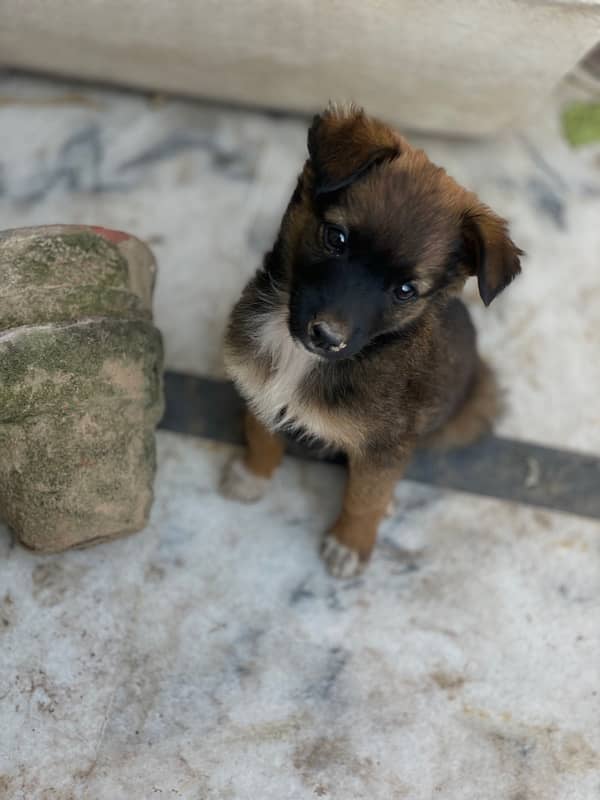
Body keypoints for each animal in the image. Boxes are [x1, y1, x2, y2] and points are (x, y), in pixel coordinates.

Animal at [220, 108, 520, 580]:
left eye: (405, 290)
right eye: (336, 238)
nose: (326, 336)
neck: (299, 358)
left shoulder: (383, 447)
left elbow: (365, 497)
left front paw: (350, 544)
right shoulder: (259, 384)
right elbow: (262, 433)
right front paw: (254, 474)